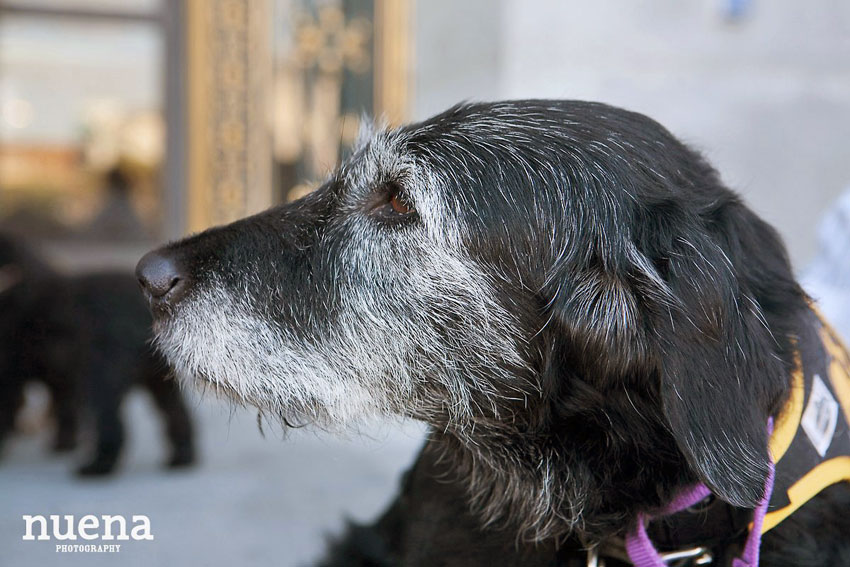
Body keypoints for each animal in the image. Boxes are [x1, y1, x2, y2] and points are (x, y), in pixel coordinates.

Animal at [1, 233, 195, 478]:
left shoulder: (12, 368)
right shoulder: (60, 375)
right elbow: (64, 407)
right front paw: (63, 444)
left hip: (102, 374)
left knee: (109, 421)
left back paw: (96, 467)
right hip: (157, 376)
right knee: (175, 411)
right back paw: (181, 457)